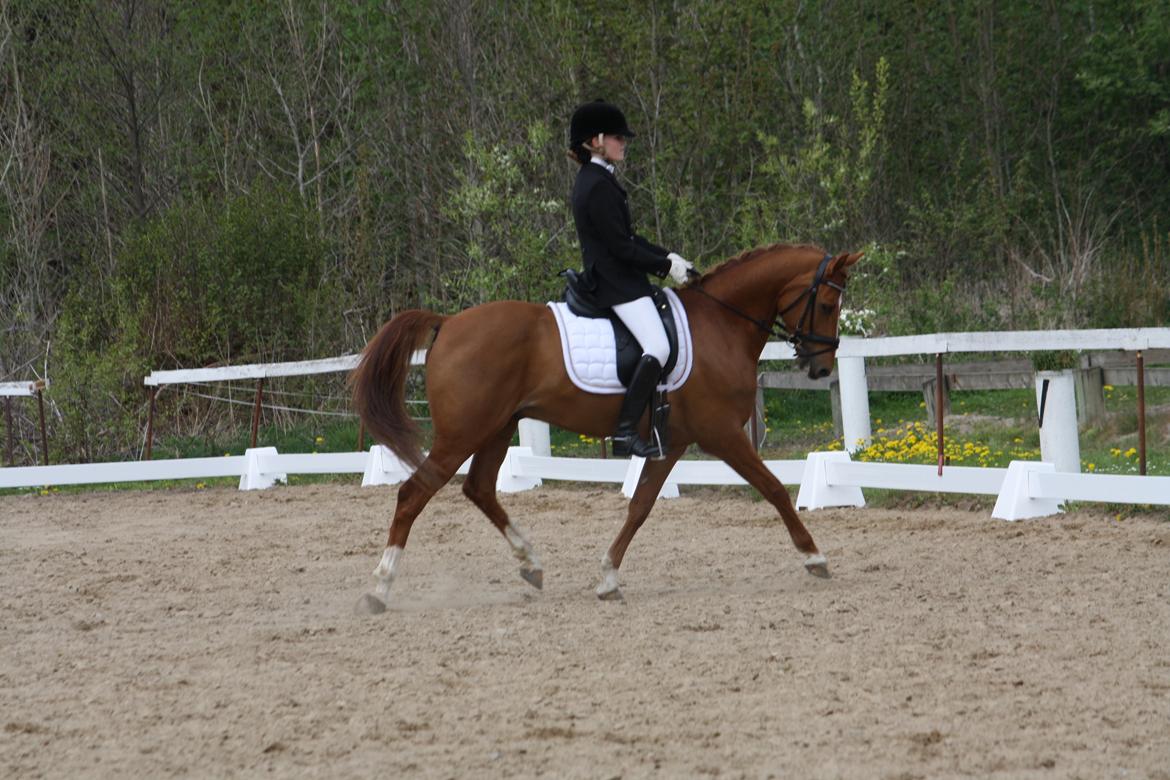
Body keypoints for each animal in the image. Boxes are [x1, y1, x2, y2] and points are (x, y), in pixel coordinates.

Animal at [350, 243, 862, 612]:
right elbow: (774, 488)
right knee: (413, 494)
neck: (722, 324)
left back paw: (531, 564)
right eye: (828, 303)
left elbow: (640, 506)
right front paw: (814, 556)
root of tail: (449, 323)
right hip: (463, 434)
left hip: (496, 428)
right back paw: (379, 589)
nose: (820, 367)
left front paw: (607, 579)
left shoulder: (673, 441)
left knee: (478, 489)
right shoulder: (722, 434)